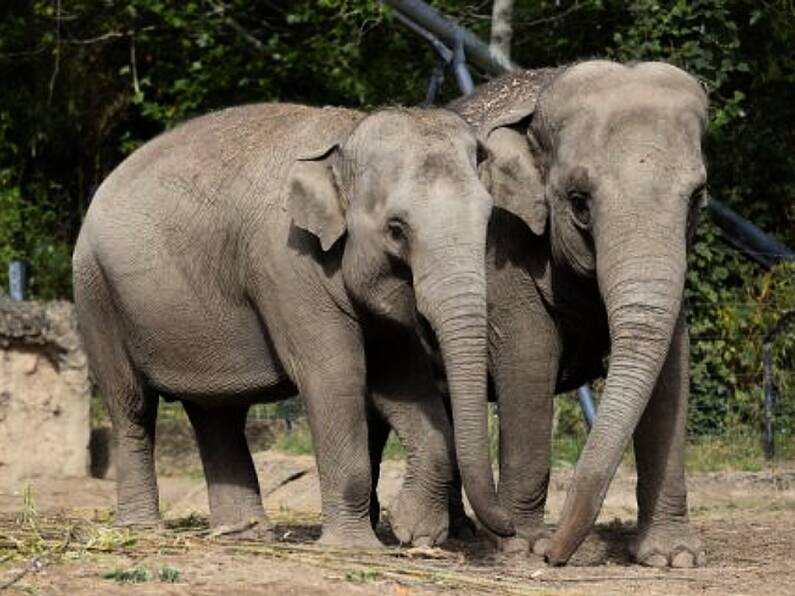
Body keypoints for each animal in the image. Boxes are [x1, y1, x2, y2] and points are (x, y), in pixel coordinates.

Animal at [74, 101, 516, 544]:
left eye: (488, 219)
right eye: (396, 229)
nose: (510, 528)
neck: (346, 137)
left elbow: (403, 380)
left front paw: (415, 533)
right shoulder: (288, 265)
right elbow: (336, 375)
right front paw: (355, 546)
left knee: (216, 411)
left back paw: (246, 533)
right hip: (96, 294)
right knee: (131, 405)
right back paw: (144, 529)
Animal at [438, 61, 712, 568]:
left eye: (697, 198)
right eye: (580, 202)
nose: (555, 555)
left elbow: (672, 370)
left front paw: (674, 557)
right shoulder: (498, 243)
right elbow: (529, 356)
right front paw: (522, 546)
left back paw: (459, 531)